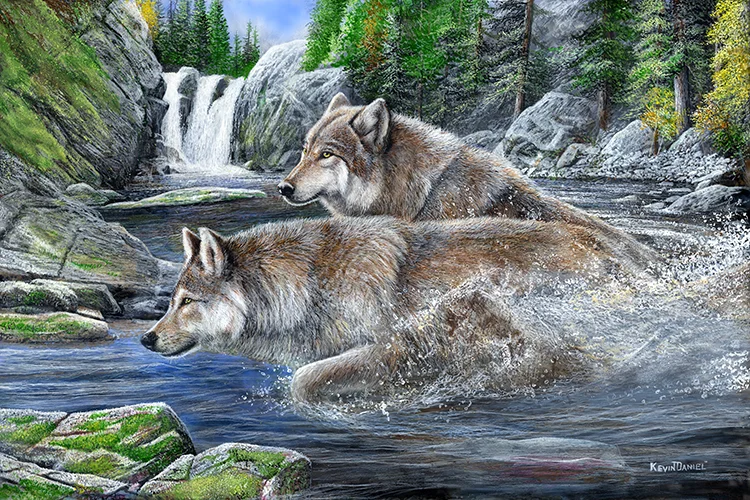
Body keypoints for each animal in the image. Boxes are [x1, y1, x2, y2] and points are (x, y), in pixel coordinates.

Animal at [141, 217, 637, 402]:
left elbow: (304, 382)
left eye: (187, 302)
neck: (310, 285)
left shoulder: (392, 347)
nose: (146, 338)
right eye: (171, 302)